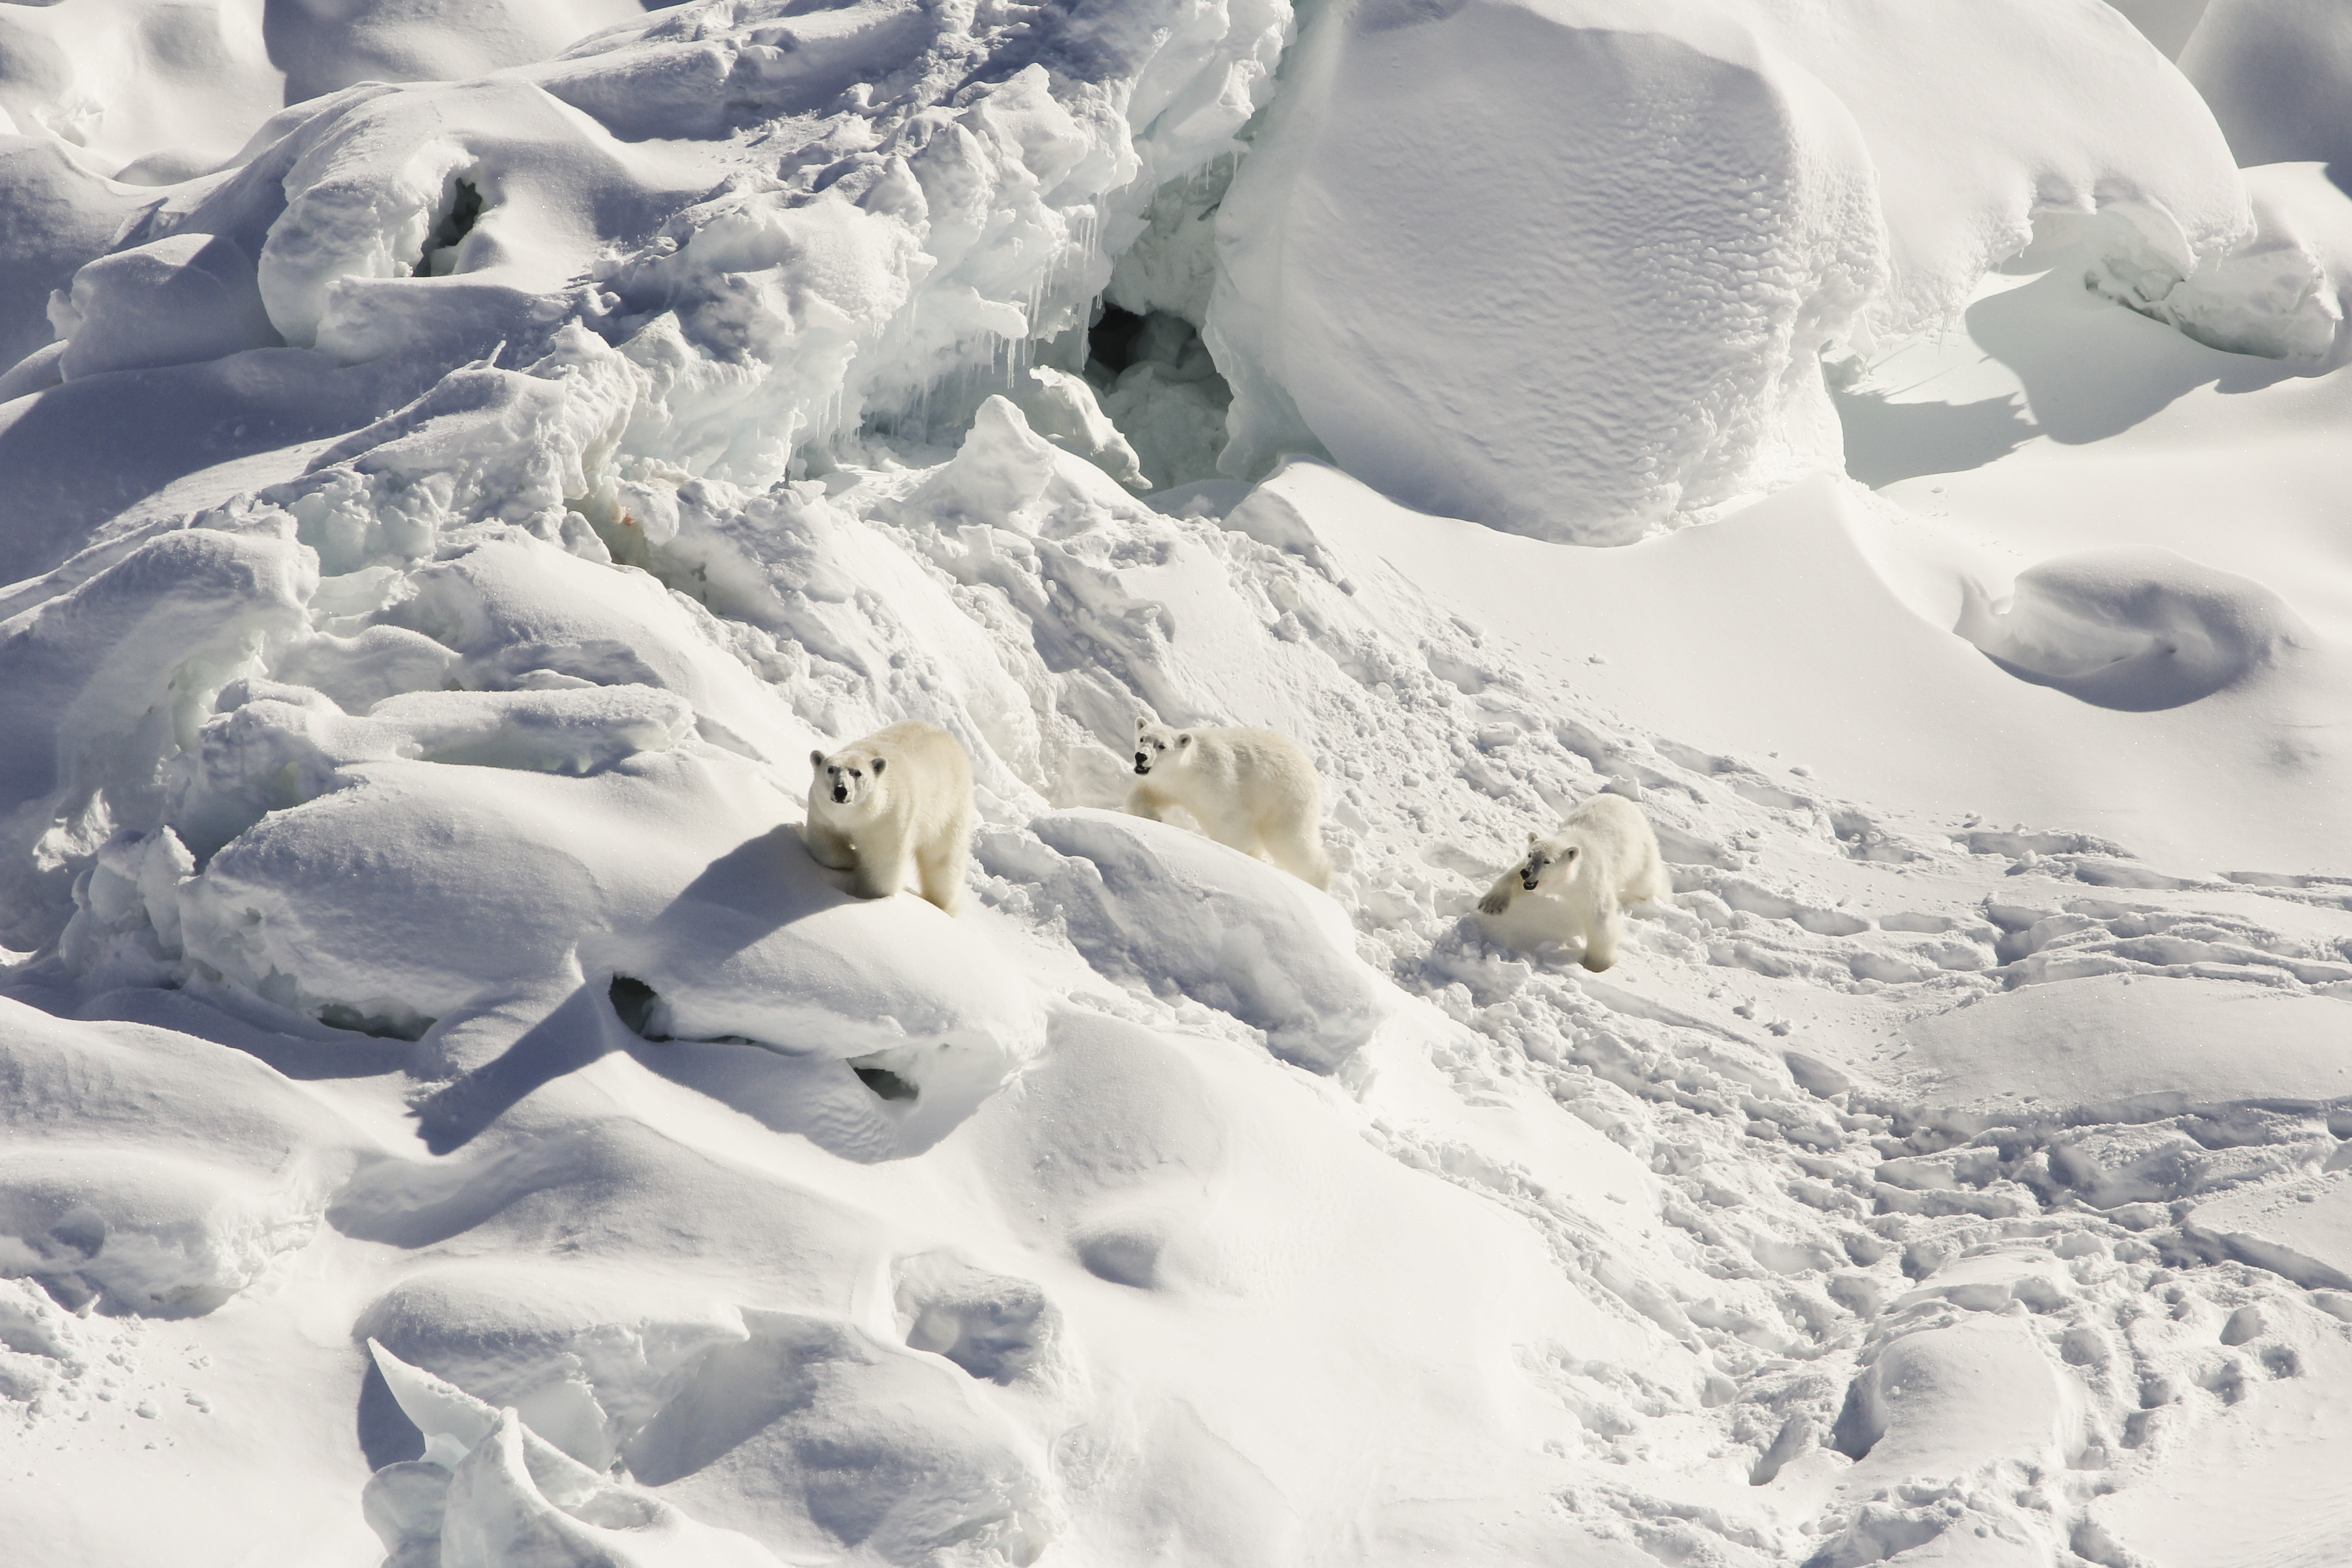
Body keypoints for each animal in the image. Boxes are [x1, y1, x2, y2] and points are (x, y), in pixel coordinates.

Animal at [805, 720, 974, 915]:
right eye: (831, 769)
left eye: (858, 773)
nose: (841, 791)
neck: (856, 817)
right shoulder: (823, 816)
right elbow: (825, 847)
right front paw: (852, 857)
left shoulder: (888, 821)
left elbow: (882, 866)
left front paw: (867, 895)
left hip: (950, 810)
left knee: (943, 861)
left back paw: (944, 906)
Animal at [1125, 717, 1333, 889]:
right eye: (1143, 738)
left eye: (1162, 746)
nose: (1141, 757)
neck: (1189, 770)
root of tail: (1314, 775)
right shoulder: (1168, 785)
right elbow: (1145, 795)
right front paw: (1153, 817)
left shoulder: (1218, 785)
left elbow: (1231, 826)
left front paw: (1238, 854)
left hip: (1286, 800)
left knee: (1290, 842)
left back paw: (1319, 883)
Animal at [1476, 793, 1669, 971]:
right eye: (1531, 854)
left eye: (1547, 861)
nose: (1526, 873)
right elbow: (1512, 877)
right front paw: (1491, 905)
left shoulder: (1590, 880)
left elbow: (1599, 915)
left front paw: (1598, 964)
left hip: (1640, 852)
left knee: (1647, 882)